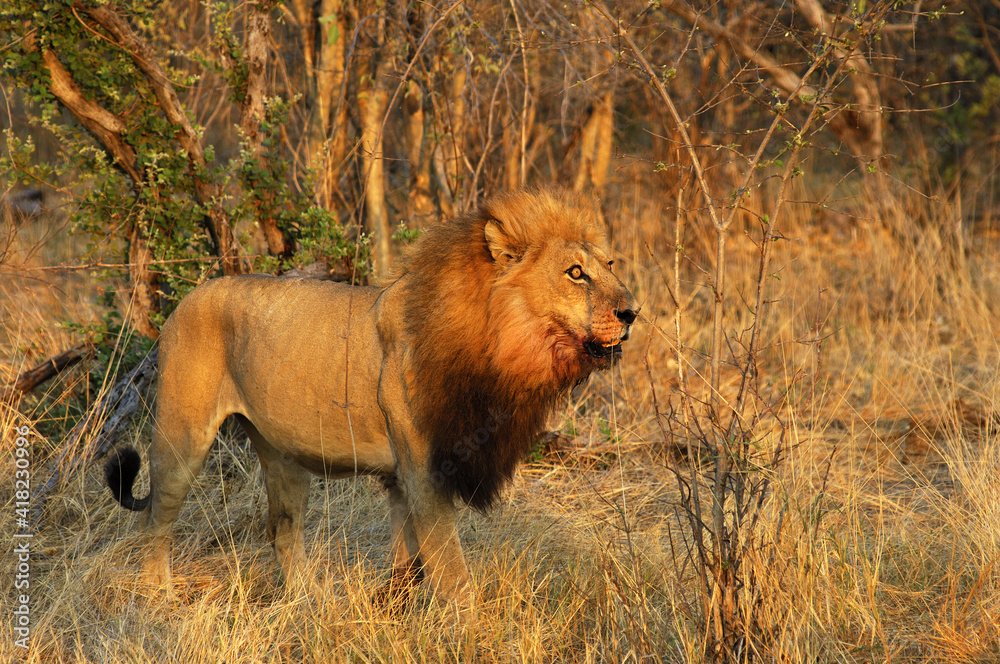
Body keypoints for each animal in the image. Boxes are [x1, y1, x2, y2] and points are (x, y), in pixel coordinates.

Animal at [106, 187, 637, 613]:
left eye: (611, 265)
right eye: (575, 273)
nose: (633, 312)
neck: (498, 352)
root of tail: (186, 299)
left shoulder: (404, 479)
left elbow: (409, 563)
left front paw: (390, 611)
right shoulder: (426, 473)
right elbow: (453, 573)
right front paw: (472, 632)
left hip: (282, 455)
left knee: (283, 531)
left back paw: (309, 604)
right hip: (182, 438)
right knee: (154, 525)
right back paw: (158, 603)